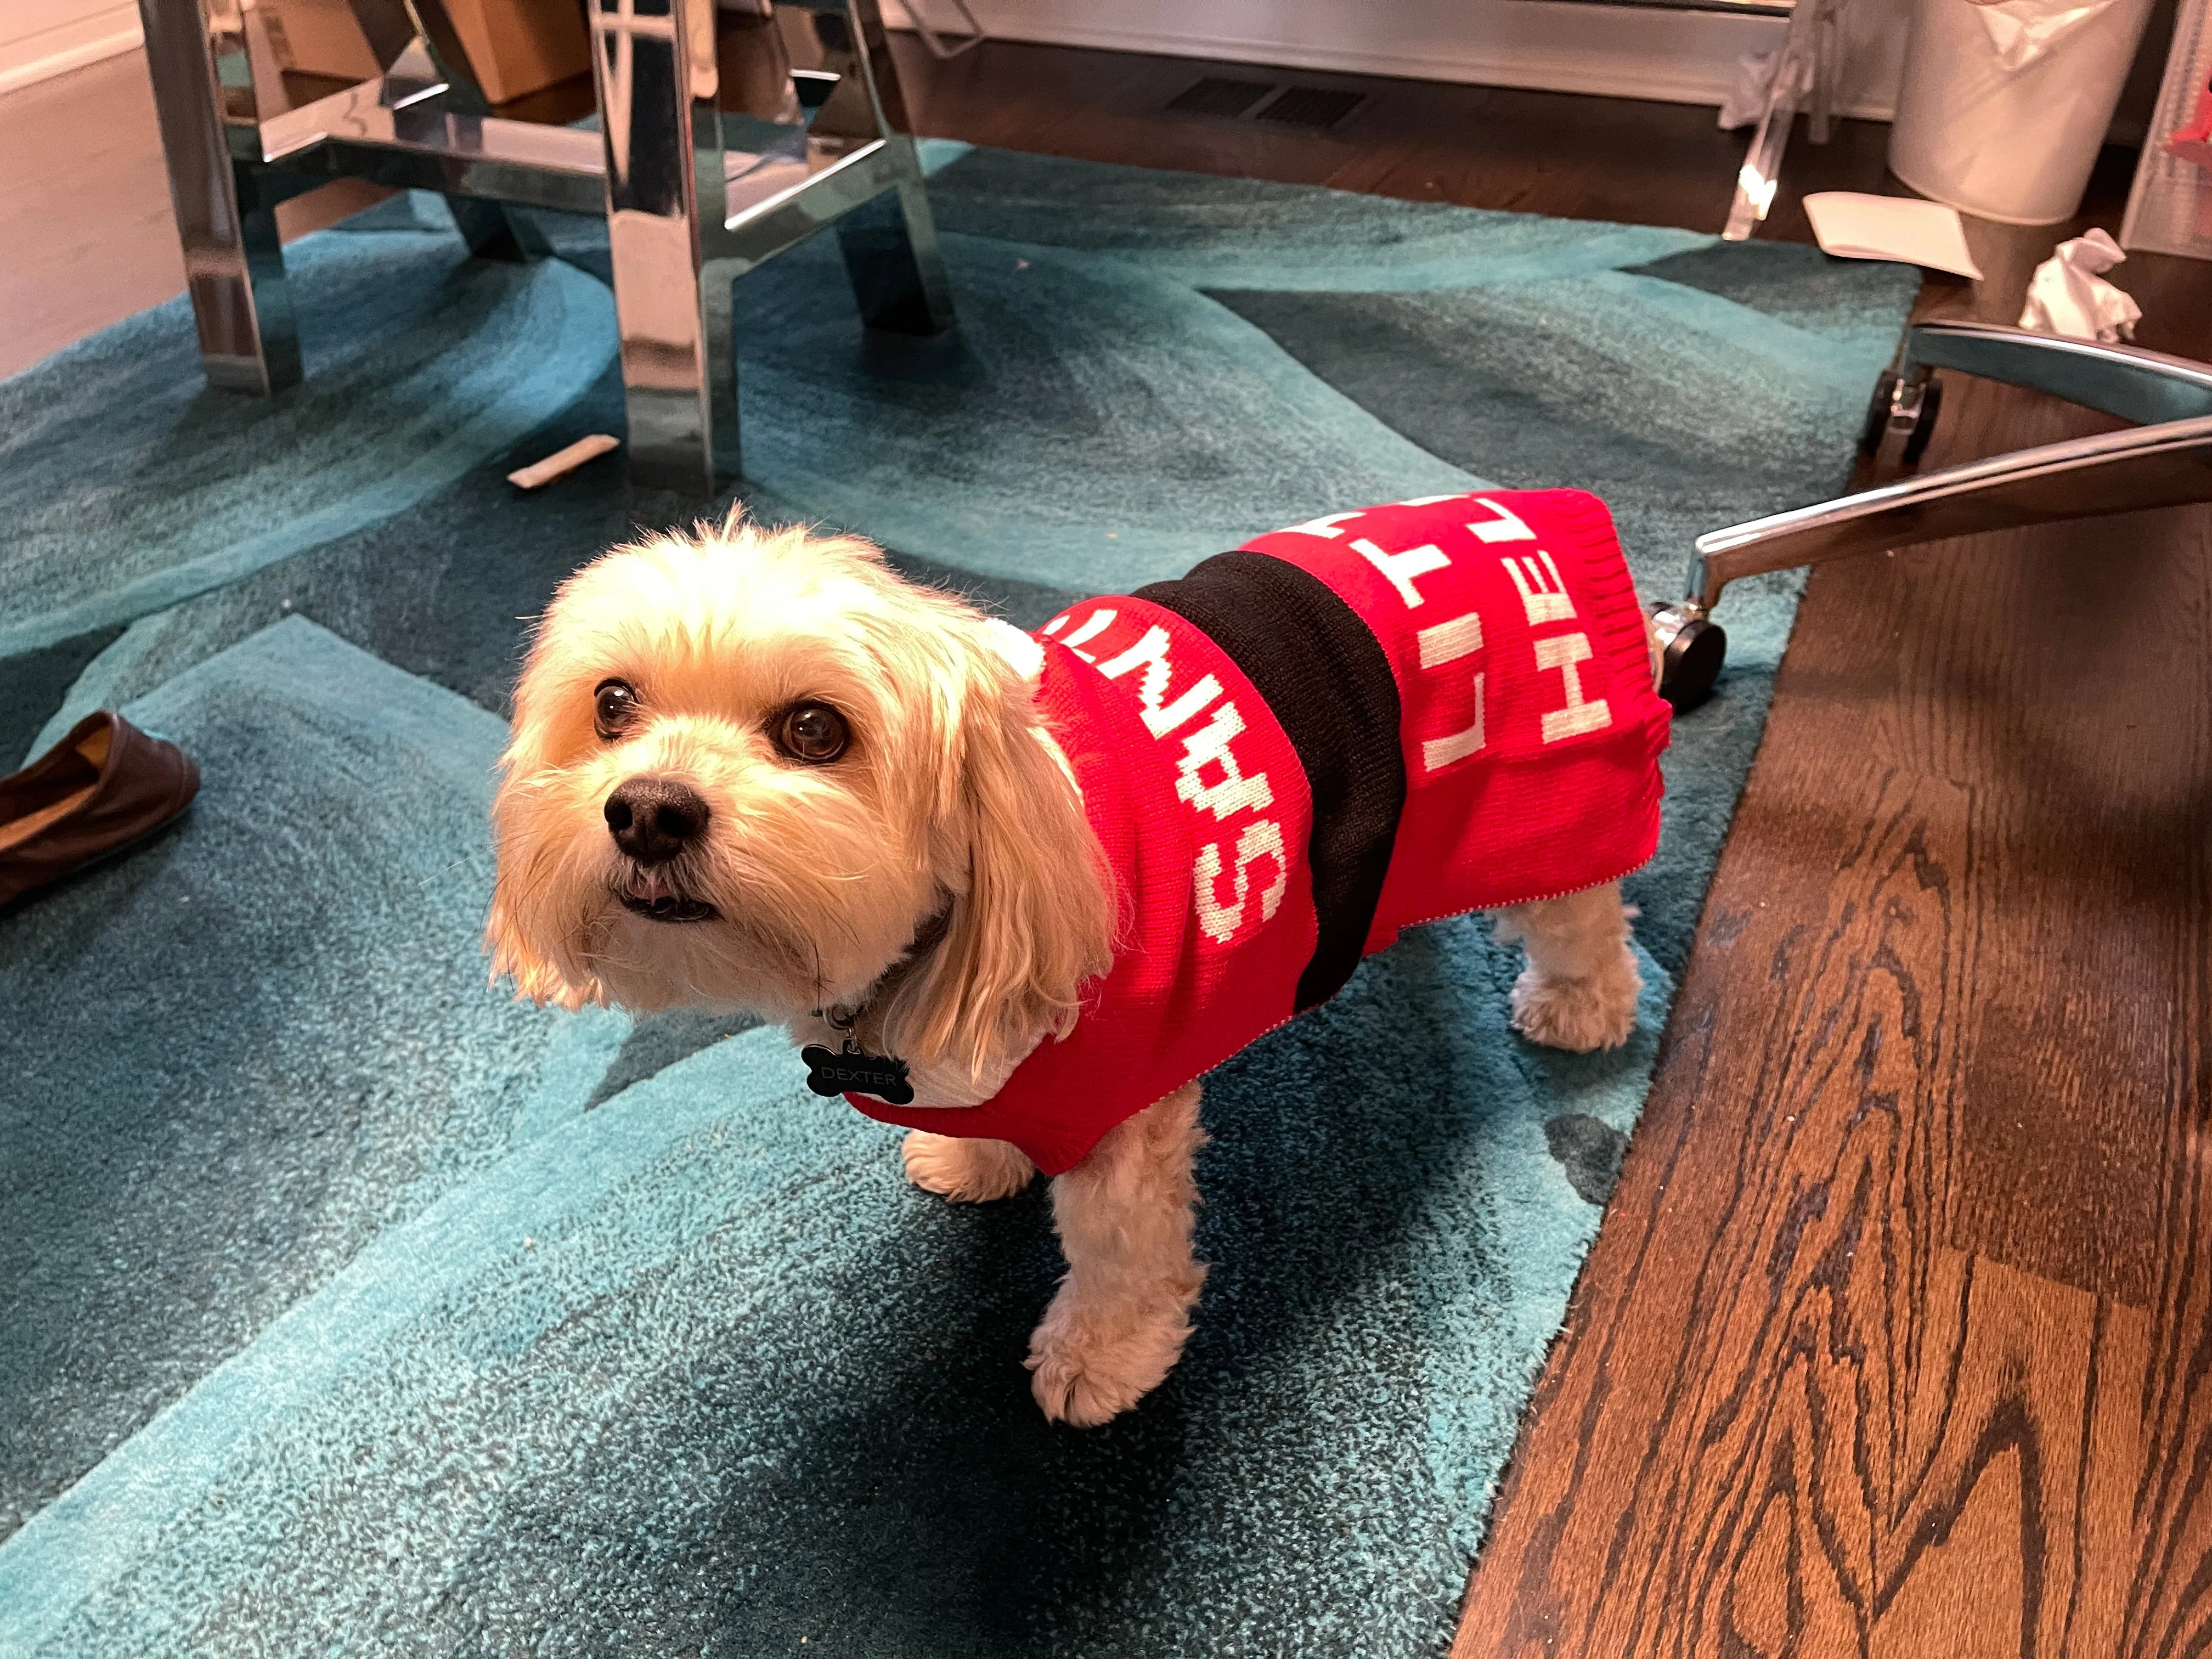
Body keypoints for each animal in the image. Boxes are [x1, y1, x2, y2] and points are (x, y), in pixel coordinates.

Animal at [484, 506, 1663, 1433]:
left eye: (815, 728)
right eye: (612, 704)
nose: (646, 809)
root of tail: (1551, 512)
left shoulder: (1127, 1118)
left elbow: (1121, 1251)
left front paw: (1102, 1353)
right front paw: (981, 1153)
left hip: (1554, 791)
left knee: (1585, 910)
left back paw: (1581, 1000)